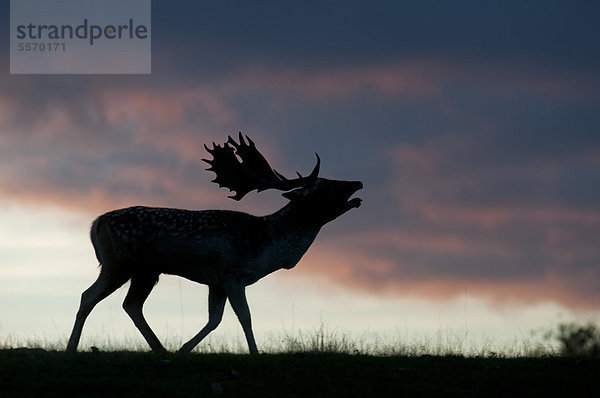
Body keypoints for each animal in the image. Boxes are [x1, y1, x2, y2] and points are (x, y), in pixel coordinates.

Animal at [68, 134, 364, 354]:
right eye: (326, 186)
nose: (357, 183)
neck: (268, 245)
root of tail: (95, 224)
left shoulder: (216, 281)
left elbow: (214, 319)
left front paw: (184, 349)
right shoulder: (233, 274)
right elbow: (245, 317)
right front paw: (255, 354)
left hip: (145, 271)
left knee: (130, 305)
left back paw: (161, 350)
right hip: (119, 264)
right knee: (88, 296)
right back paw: (72, 348)